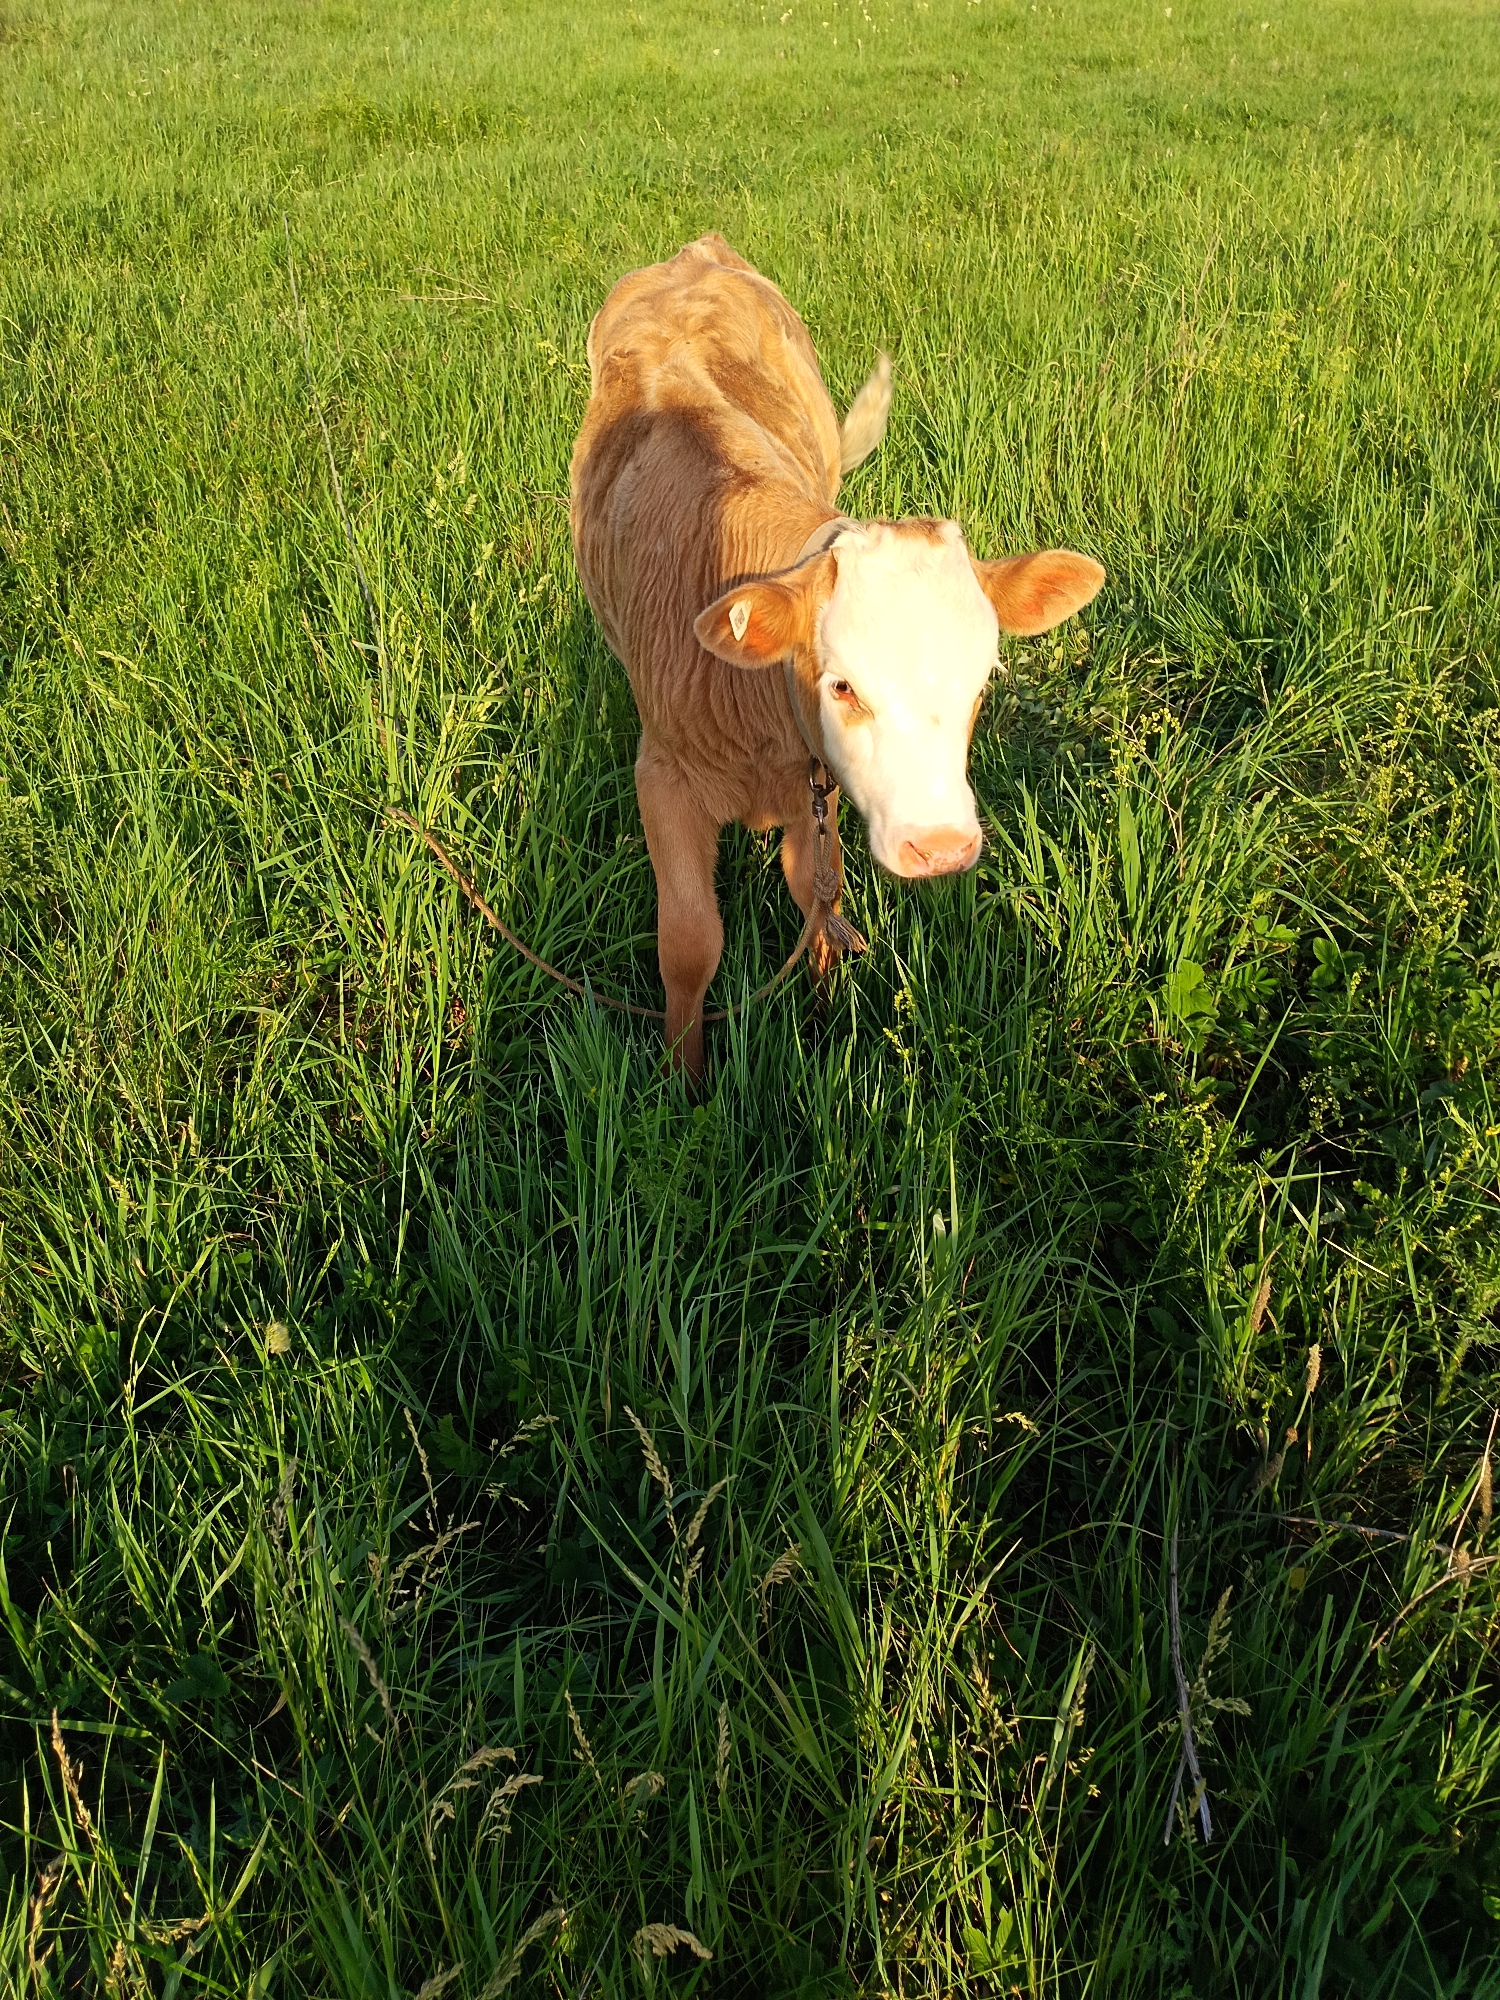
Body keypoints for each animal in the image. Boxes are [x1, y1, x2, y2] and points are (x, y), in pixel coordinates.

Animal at [568, 232, 1104, 1077]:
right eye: (844, 687)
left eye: (981, 686)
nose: (940, 847)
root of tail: (695, 253)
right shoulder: (663, 777)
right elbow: (689, 944)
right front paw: (684, 1082)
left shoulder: (809, 794)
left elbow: (820, 900)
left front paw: (823, 1017)